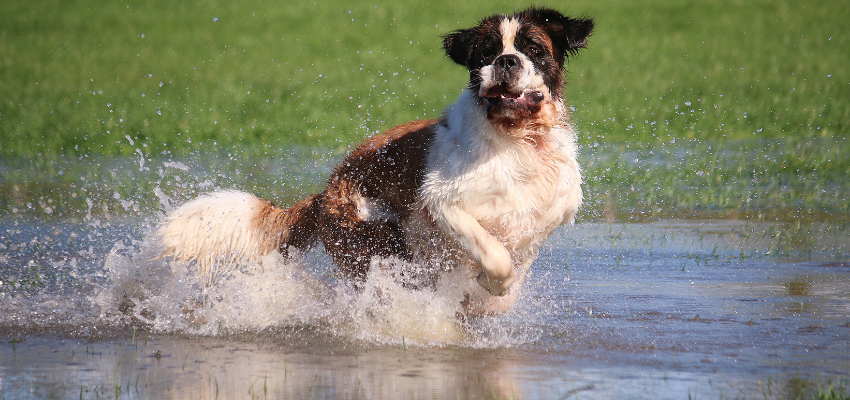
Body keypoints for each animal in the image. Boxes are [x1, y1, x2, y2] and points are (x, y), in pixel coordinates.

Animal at [161, 5, 596, 312]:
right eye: (486, 53)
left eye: (534, 50)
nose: (506, 61)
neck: (520, 140)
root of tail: (326, 191)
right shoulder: (443, 203)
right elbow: (494, 255)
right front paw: (491, 284)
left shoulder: (540, 221)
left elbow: (513, 272)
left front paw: (490, 299)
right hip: (375, 241)